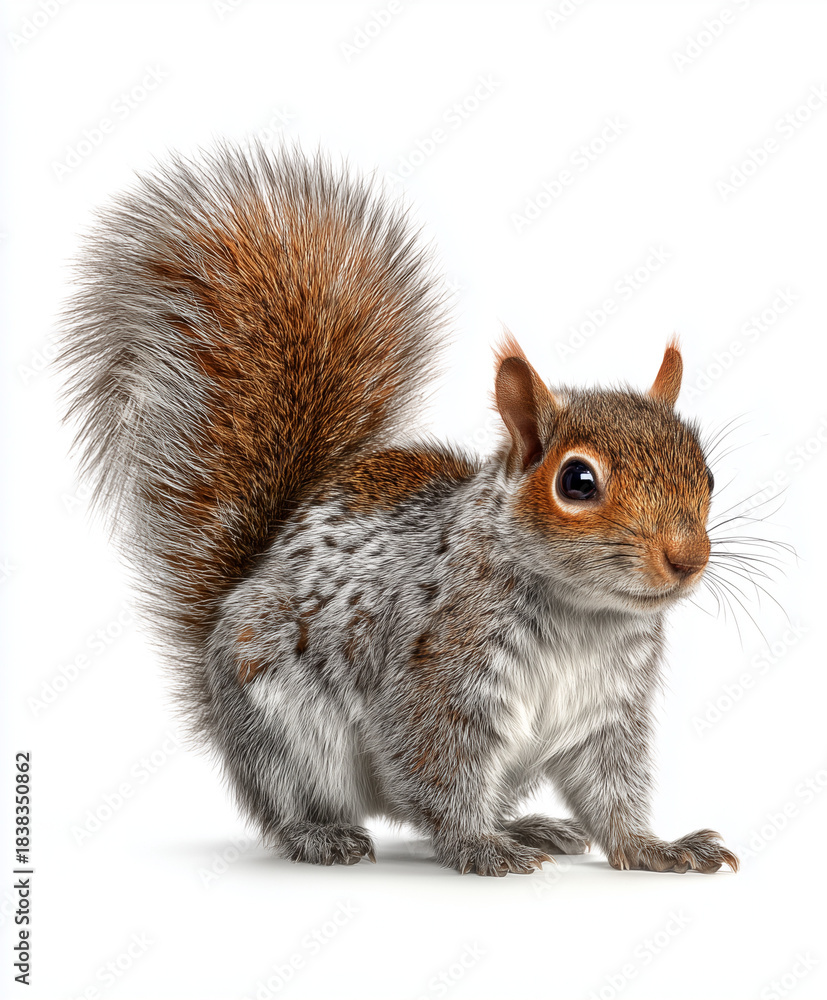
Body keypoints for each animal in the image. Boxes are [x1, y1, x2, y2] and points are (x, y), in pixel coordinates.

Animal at [60, 142, 739, 877]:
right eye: (577, 481)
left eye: (706, 473)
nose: (687, 558)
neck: (584, 617)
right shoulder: (438, 676)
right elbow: (439, 772)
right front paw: (478, 848)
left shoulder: (608, 712)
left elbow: (611, 791)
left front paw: (655, 848)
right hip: (279, 725)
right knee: (286, 802)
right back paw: (322, 836)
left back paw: (528, 826)